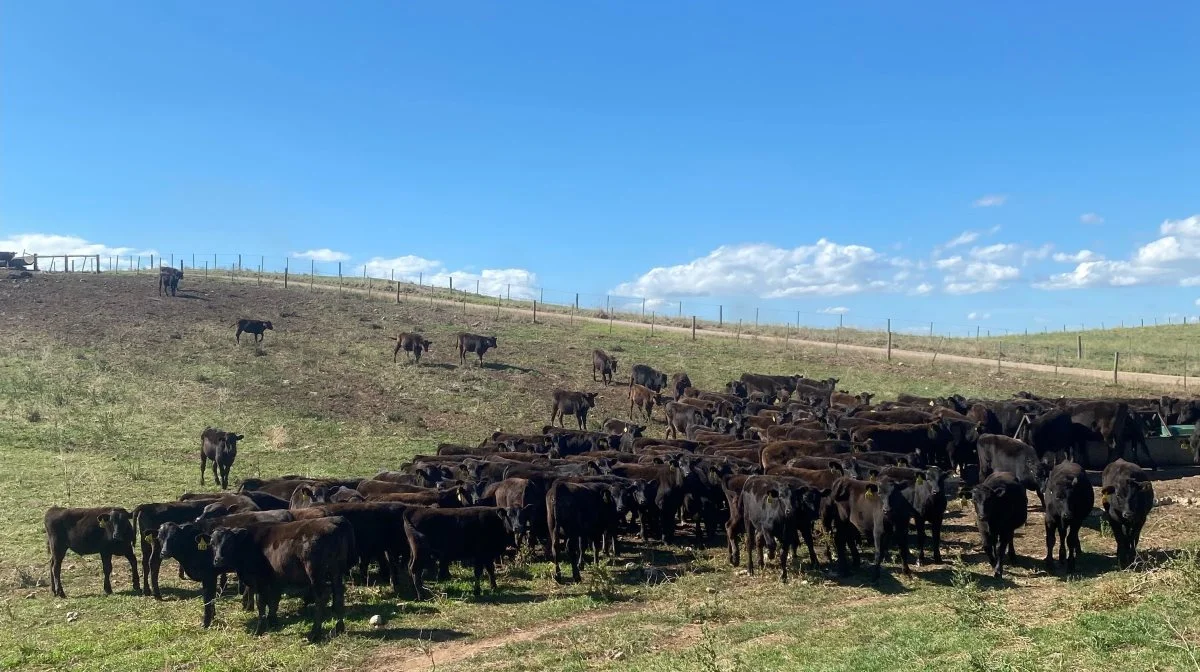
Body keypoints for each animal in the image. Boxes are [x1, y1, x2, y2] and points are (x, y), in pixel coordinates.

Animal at [210, 516, 355, 643]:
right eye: (213, 543)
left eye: (229, 543)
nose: (218, 560)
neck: (248, 543)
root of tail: (335, 520)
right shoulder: (276, 580)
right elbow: (274, 602)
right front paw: (273, 622)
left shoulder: (260, 580)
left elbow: (261, 603)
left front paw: (259, 629)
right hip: (336, 571)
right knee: (338, 595)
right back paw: (338, 629)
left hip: (315, 573)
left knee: (322, 597)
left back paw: (314, 634)